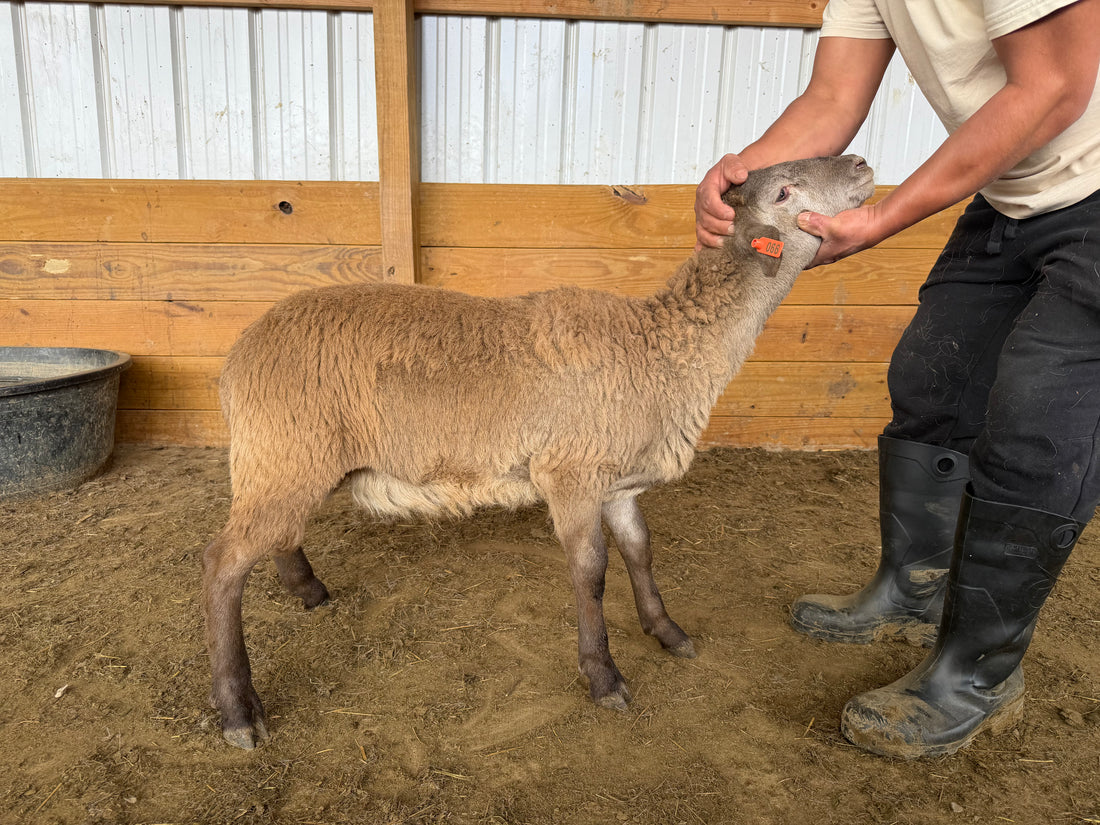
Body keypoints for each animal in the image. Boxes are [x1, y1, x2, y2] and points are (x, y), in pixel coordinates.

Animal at [202, 155, 875, 749]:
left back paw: (307, 590)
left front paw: (667, 632)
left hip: (290, 458)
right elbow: (592, 571)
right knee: (223, 565)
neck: (661, 347)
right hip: (285, 450)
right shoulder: (570, 472)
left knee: (277, 533)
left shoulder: (618, 484)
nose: (863, 163)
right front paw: (604, 677)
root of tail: (237, 356)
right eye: (784, 191)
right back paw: (239, 711)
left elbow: (640, 552)